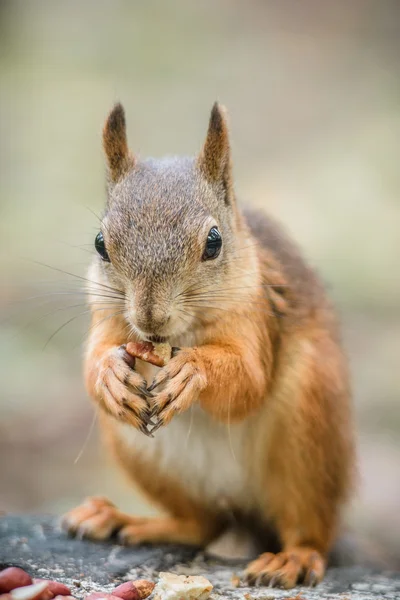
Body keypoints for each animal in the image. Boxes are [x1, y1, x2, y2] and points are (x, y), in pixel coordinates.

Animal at [61, 102, 354, 584]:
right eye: (101, 243)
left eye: (214, 242)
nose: (150, 318)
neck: (178, 337)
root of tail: (241, 504)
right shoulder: (106, 315)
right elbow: (92, 364)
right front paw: (107, 373)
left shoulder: (257, 313)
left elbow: (249, 381)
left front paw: (193, 370)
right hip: (142, 453)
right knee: (202, 523)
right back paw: (123, 519)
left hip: (309, 434)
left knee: (309, 529)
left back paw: (292, 558)